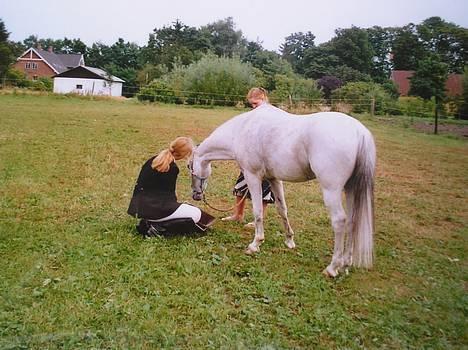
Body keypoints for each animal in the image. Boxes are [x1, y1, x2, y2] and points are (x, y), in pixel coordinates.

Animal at [190, 104, 376, 276]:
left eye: (189, 166)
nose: (195, 194)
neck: (241, 130)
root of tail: (360, 133)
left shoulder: (253, 177)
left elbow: (258, 211)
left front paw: (255, 244)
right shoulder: (274, 179)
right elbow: (282, 210)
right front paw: (289, 241)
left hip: (332, 190)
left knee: (339, 221)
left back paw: (332, 268)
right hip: (351, 189)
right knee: (352, 220)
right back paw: (345, 264)